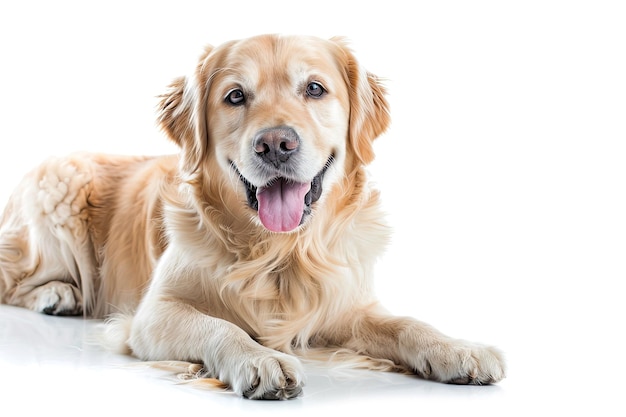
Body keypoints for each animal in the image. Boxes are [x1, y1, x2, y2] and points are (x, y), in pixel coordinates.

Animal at [0, 34, 502, 398]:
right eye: (236, 96)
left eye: (314, 88)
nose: (276, 143)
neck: (280, 250)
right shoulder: (154, 314)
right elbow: (219, 325)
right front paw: (259, 359)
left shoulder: (345, 306)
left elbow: (405, 323)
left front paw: (458, 349)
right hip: (58, 186)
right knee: (17, 281)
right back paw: (57, 295)